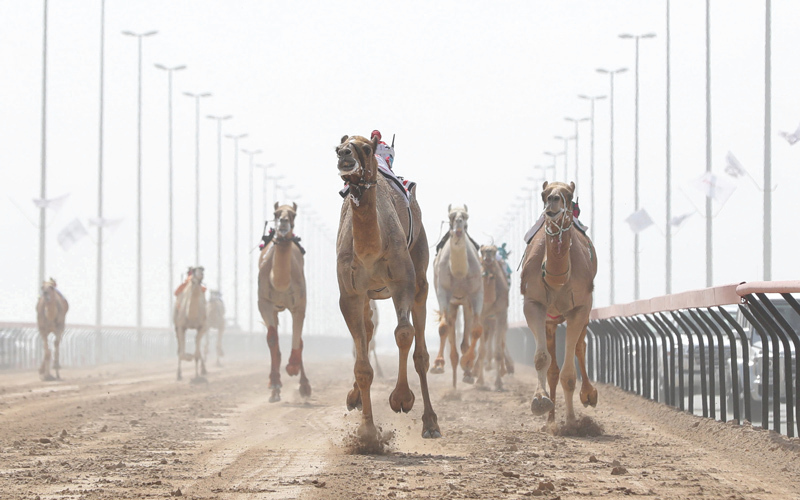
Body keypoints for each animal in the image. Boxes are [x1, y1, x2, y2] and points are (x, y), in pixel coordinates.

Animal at [256, 202, 310, 402]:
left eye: (293, 214)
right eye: (276, 213)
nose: (284, 222)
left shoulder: (300, 305)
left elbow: (298, 338)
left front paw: (293, 368)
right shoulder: (264, 302)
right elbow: (272, 339)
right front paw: (274, 383)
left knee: (299, 340)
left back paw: (304, 387)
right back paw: (275, 390)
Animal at [334, 133, 440, 442]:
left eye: (365, 149)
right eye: (338, 146)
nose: (344, 155)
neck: (371, 250)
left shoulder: (402, 282)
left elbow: (404, 334)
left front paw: (402, 399)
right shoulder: (350, 295)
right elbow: (362, 364)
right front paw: (367, 432)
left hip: (419, 274)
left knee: (420, 351)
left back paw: (430, 423)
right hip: (369, 296)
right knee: (368, 333)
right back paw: (355, 398)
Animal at [432, 203, 482, 386]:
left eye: (465, 216)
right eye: (451, 216)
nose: (459, 224)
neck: (460, 272)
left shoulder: (476, 293)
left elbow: (477, 330)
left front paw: (467, 363)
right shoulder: (443, 292)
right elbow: (444, 327)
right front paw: (438, 365)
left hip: (465, 303)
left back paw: (466, 372)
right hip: (453, 303)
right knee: (450, 325)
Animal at [472, 245, 510, 390]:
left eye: (494, 250)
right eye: (482, 250)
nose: (488, 252)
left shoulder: (501, 314)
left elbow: (498, 352)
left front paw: (498, 383)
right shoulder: (482, 316)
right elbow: (482, 350)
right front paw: (479, 381)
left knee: (501, 342)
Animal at [520, 181, 600, 422]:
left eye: (568, 195)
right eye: (543, 194)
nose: (553, 201)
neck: (556, 279)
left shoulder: (580, 308)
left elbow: (570, 371)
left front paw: (573, 420)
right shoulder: (533, 304)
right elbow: (541, 359)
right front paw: (540, 401)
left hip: (584, 313)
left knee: (580, 347)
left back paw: (587, 397)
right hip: (551, 321)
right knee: (553, 368)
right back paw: (551, 419)